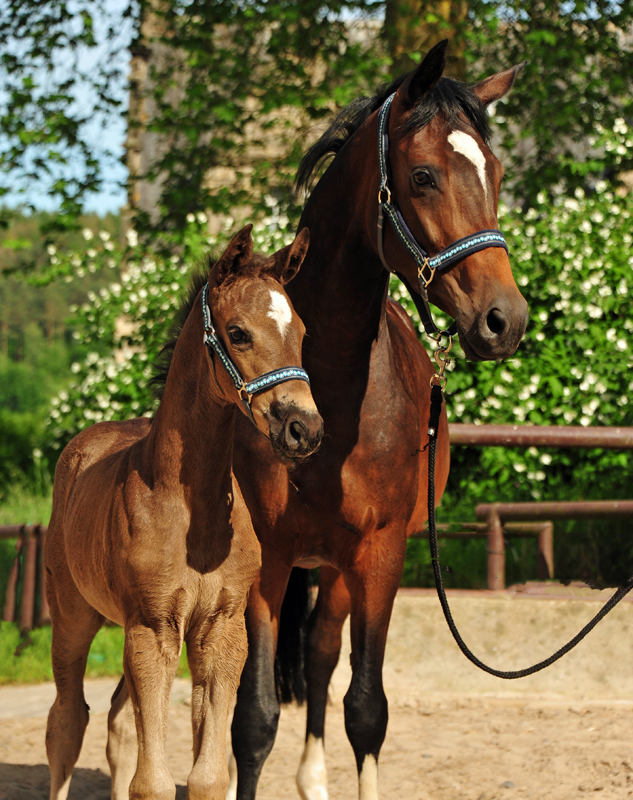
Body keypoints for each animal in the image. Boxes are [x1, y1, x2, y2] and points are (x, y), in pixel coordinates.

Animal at [43, 225, 326, 800]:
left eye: (302, 332)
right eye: (238, 333)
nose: (304, 428)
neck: (189, 511)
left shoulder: (221, 629)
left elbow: (206, 775)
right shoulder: (152, 627)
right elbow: (152, 782)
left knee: (116, 721)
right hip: (73, 615)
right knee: (67, 719)